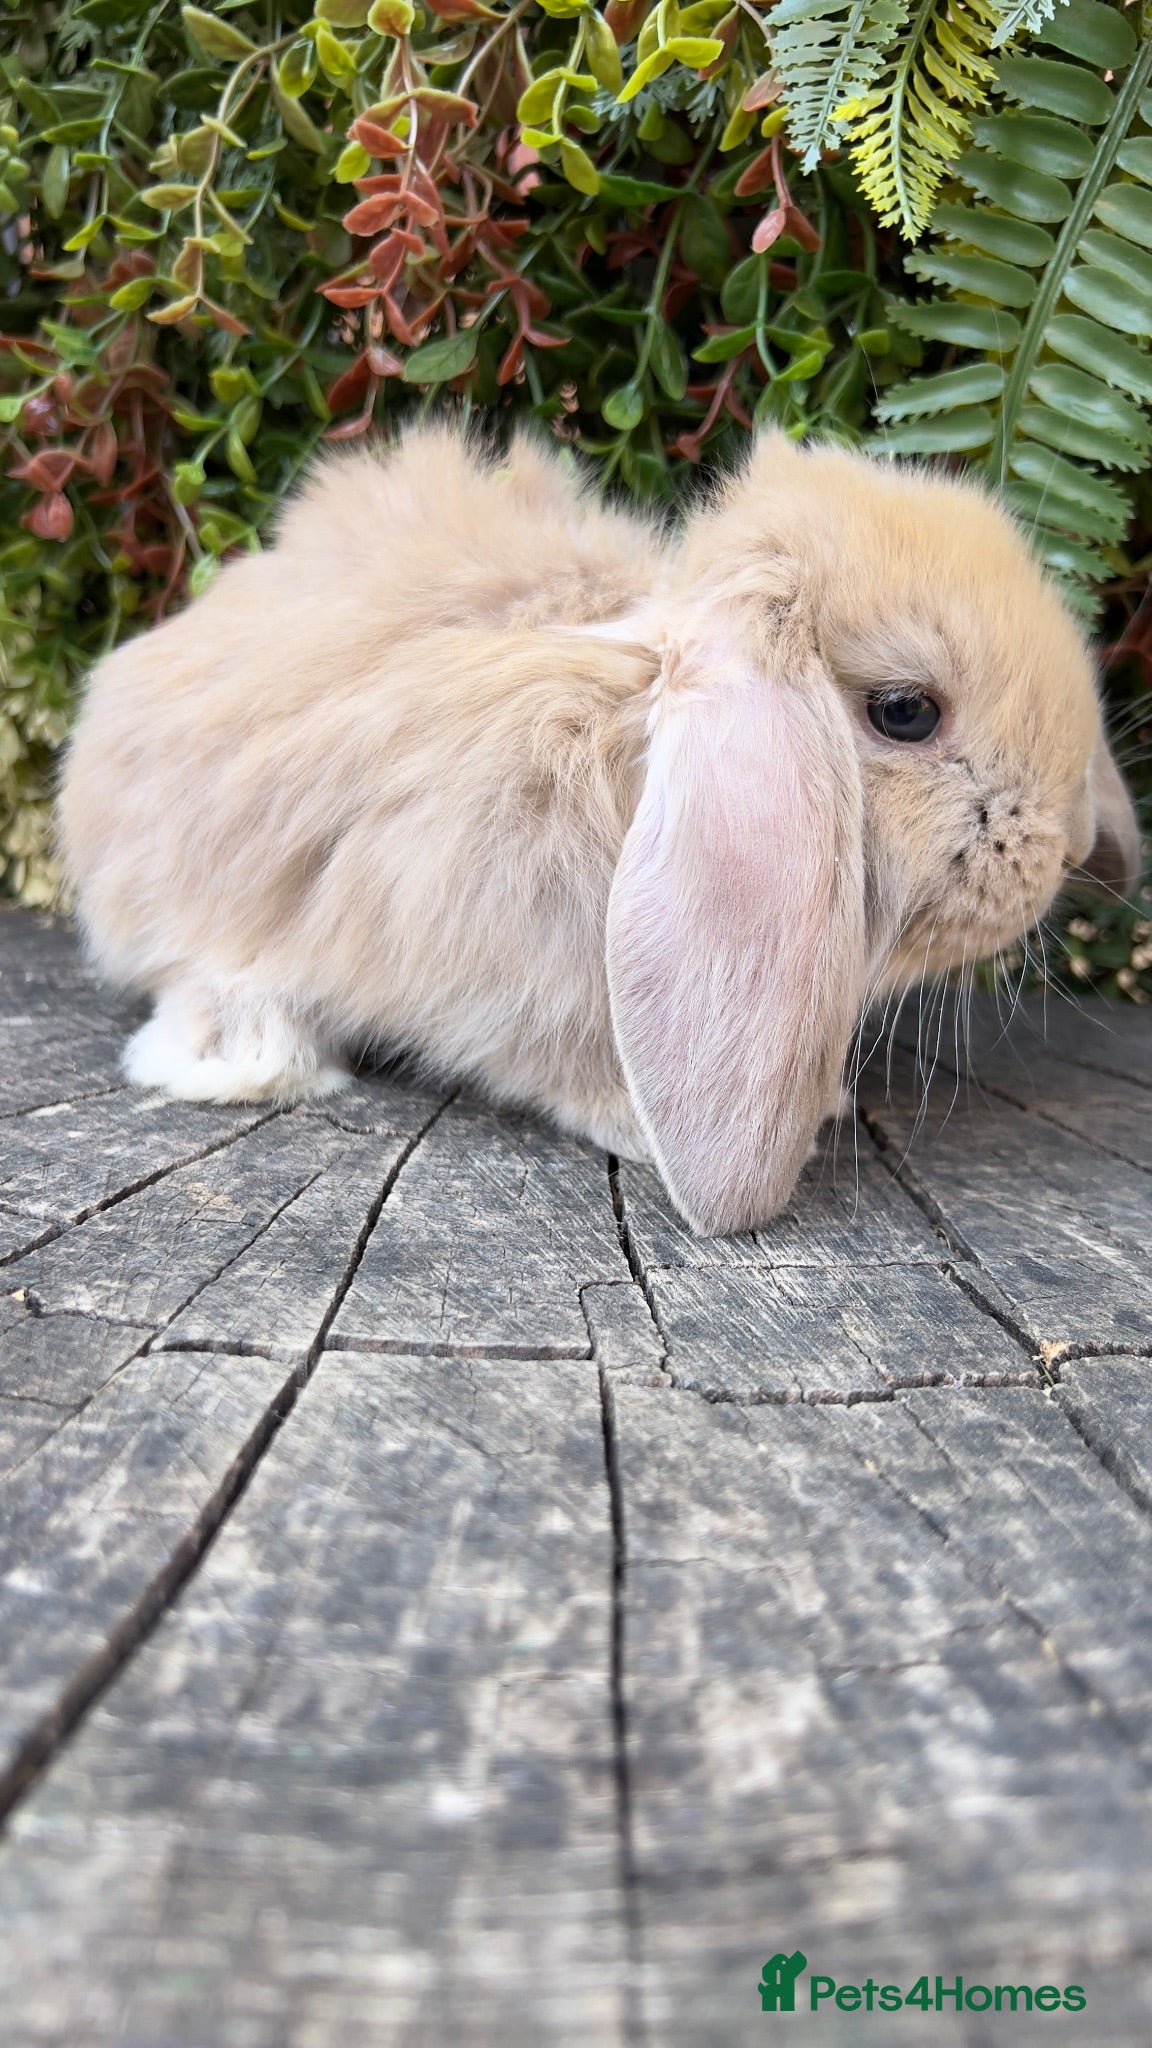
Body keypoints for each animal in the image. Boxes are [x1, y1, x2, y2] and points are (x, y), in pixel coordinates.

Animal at [58, 423, 1142, 1237]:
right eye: (907, 711)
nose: (1066, 848)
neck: (628, 740)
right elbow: (562, 1069)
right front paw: (653, 1125)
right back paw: (246, 1052)